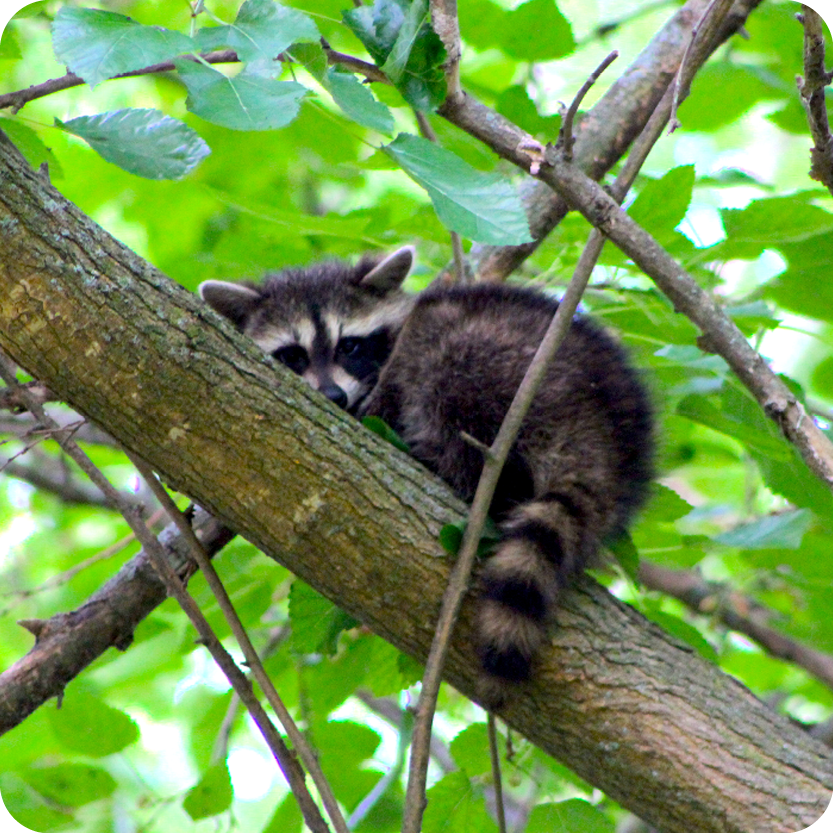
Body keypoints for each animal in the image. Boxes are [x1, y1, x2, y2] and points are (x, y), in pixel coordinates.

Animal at [199, 247, 654, 704]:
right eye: (292, 355)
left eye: (350, 346)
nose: (333, 396)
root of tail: (603, 433)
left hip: (511, 367)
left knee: (441, 359)